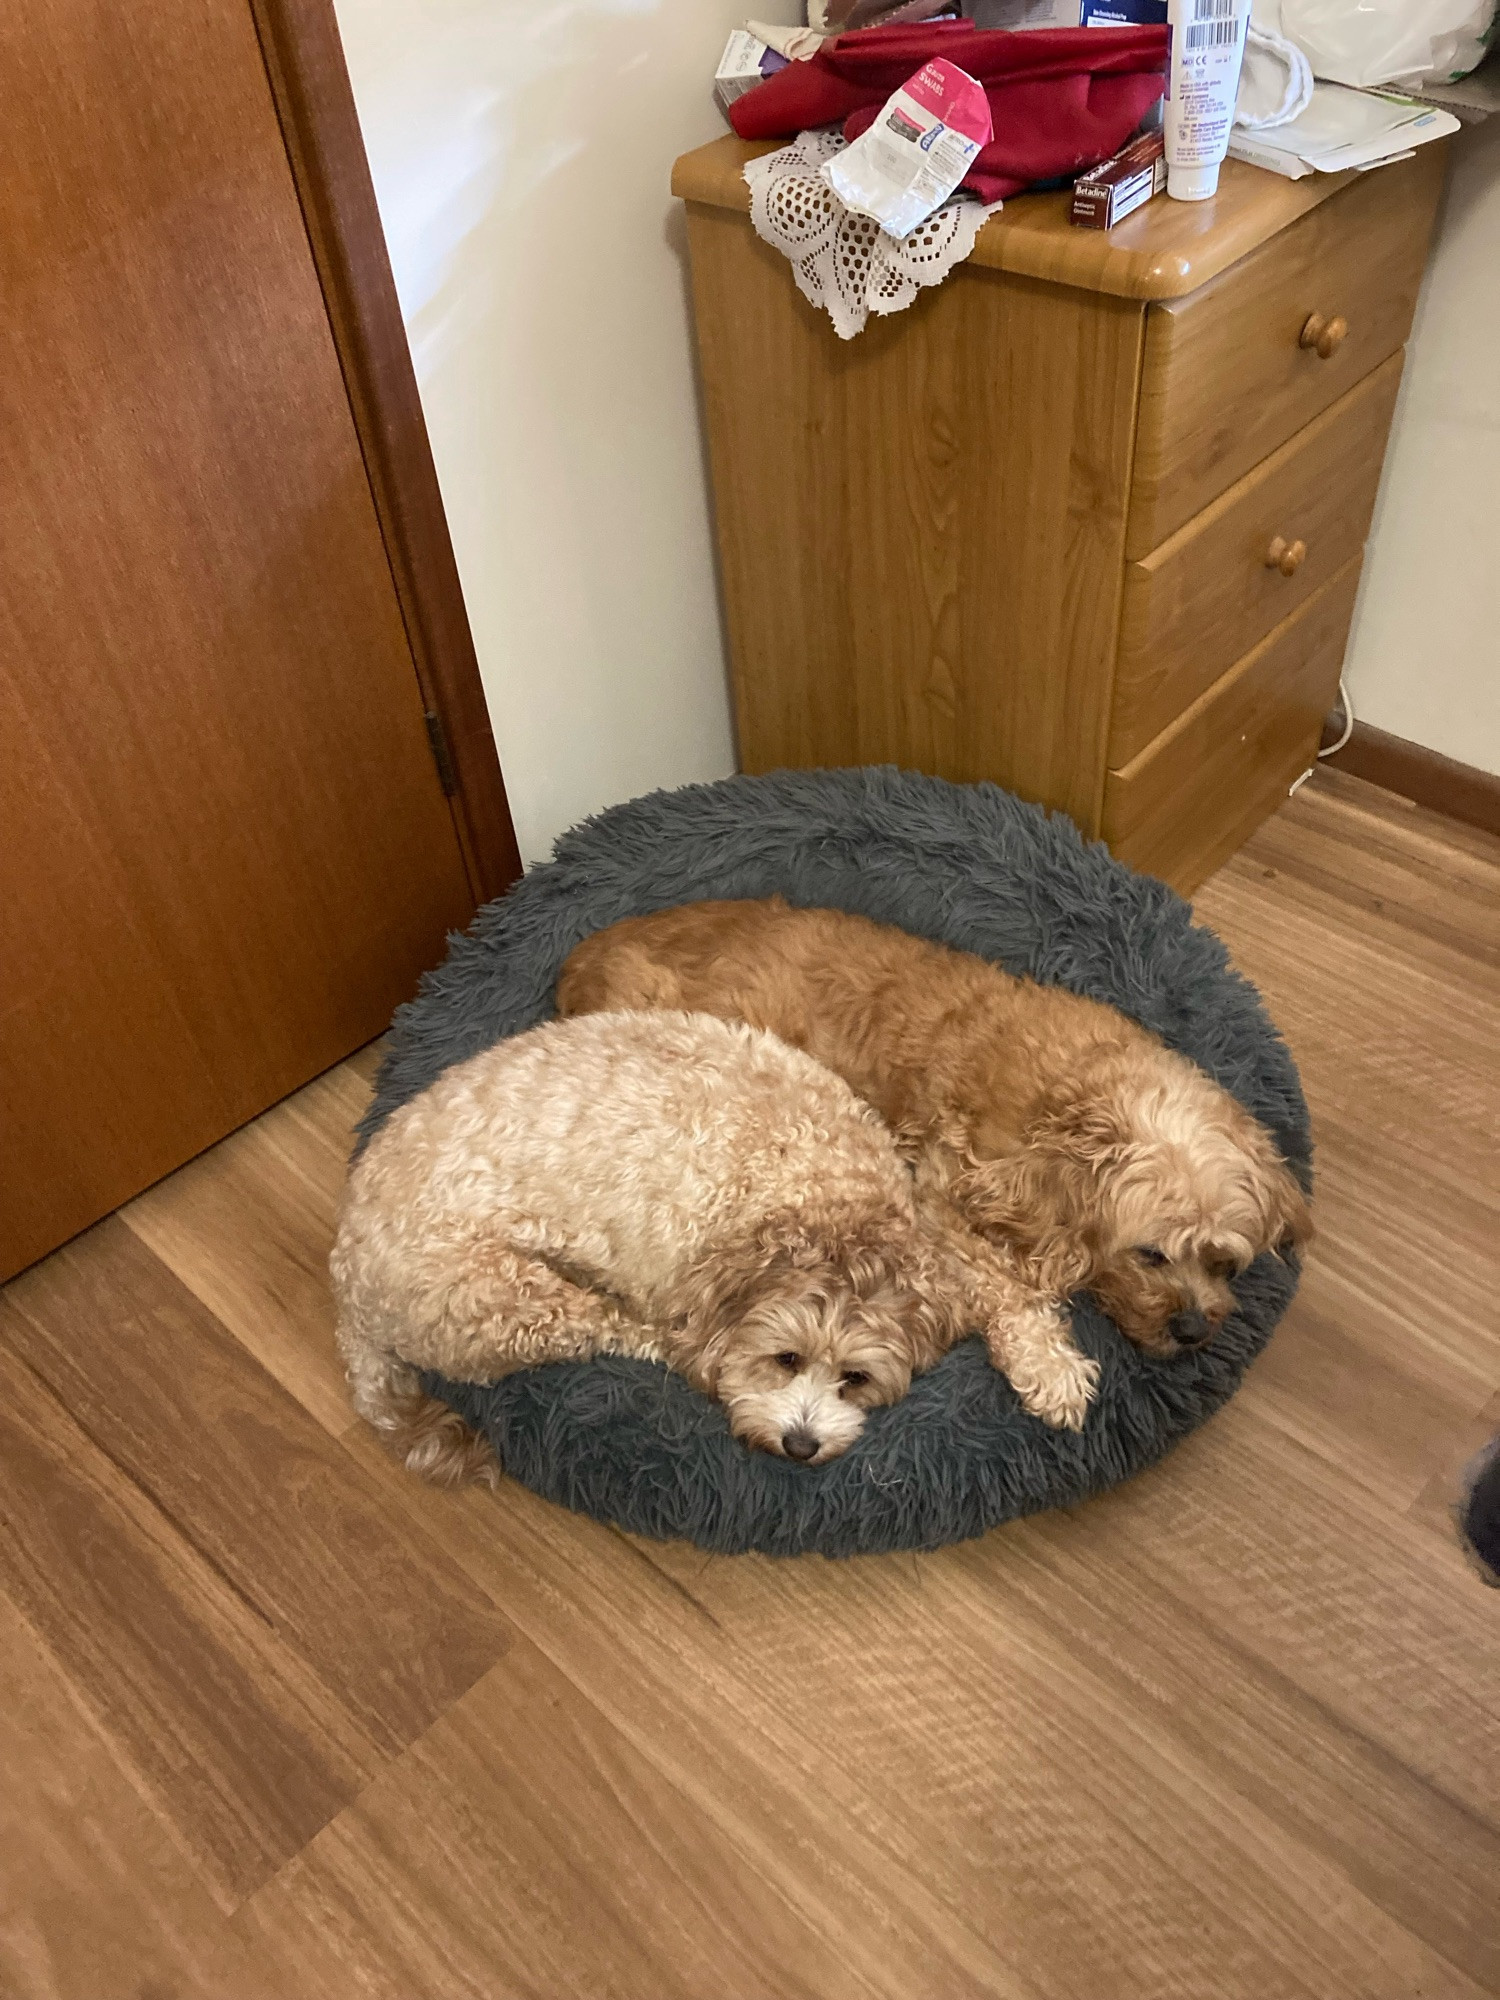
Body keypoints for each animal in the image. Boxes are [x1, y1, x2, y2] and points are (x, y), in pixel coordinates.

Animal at [332, 1016, 1096, 1488]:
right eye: (785, 1360)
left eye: (855, 1379)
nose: (800, 1445)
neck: (822, 1207)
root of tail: (346, 1279)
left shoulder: (928, 1243)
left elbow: (1000, 1288)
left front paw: (1051, 1368)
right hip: (508, 1300)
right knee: (625, 1332)